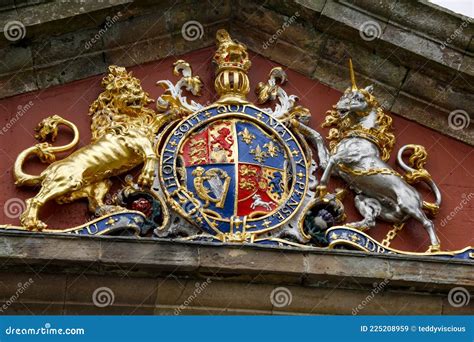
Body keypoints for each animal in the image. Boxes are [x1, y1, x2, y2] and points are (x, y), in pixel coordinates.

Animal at [13, 65, 172, 230]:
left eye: (135, 85)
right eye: (123, 88)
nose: (137, 92)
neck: (128, 116)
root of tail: (46, 172)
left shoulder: (145, 130)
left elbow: (159, 119)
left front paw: (175, 109)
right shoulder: (133, 136)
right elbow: (150, 149)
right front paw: (146, 175)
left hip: (98, 183)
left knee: (93, 204)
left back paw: (112, 211)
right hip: (64, 181)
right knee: (34, 200)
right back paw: (32, 223)